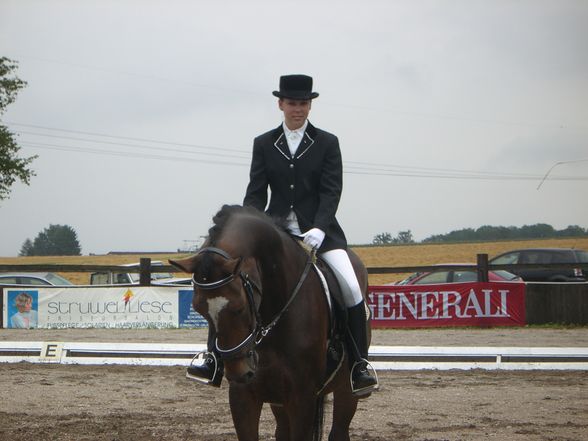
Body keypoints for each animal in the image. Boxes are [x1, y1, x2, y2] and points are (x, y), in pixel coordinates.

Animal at [171, 206, 372, 440]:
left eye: (240, 307)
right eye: (200, 310)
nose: (240, 372)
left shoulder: (303, 398)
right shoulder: (243, 396)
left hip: (345, 391)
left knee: (339, 430)